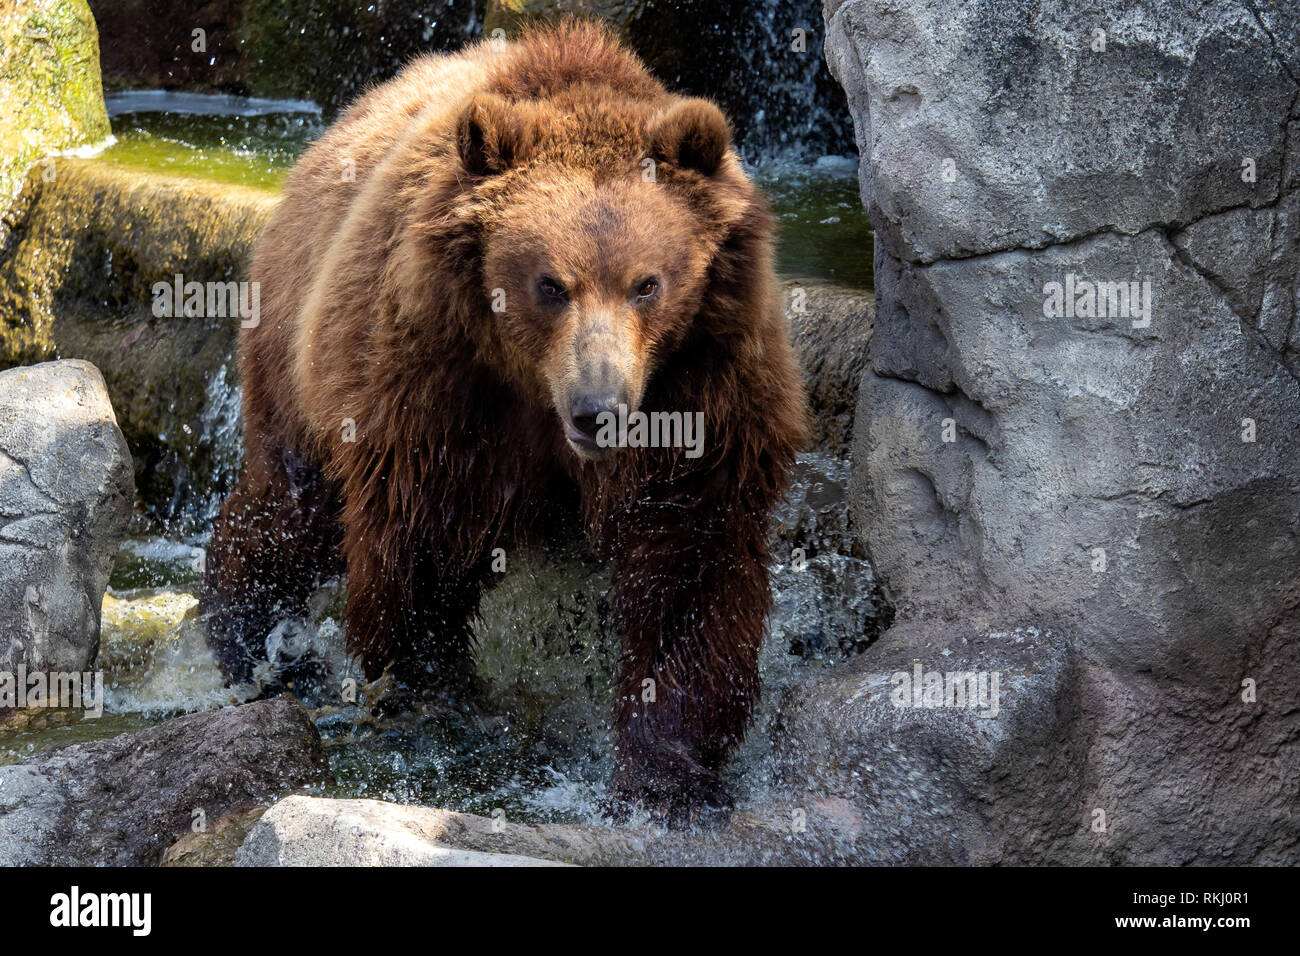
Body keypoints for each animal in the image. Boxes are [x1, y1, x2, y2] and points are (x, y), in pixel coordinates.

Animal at [201, 18, 806, 816]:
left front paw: (666, 769)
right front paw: (431, 694)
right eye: (550, 283)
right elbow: (418, 550)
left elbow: (689, 568)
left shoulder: (703, 388)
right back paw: (250, 641)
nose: (600, 411)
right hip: (297, 352)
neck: (533, 387)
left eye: (648, 283)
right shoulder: (437, 388)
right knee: (287, 510)